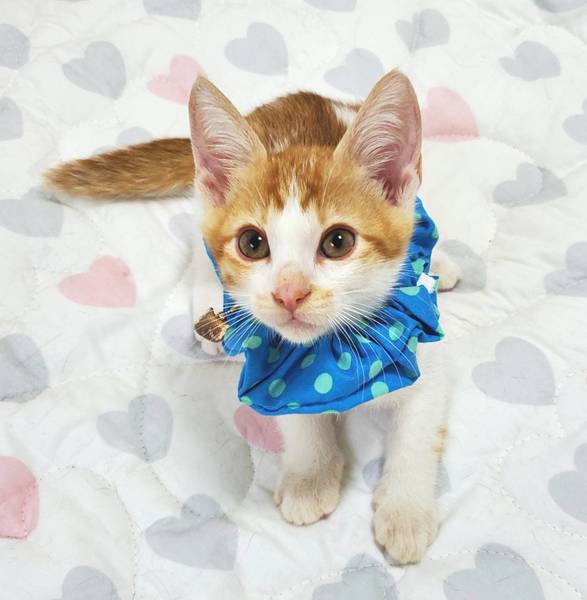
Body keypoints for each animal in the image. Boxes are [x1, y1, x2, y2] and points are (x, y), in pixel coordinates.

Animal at [45, 70, 461, 565]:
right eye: (252, 243)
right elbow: (295, 414)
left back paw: (443, 262)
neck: (334, 351)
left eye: (338, 241)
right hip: (205, 200)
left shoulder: (424, 346)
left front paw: (406, 512)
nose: (288, 294)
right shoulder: (272, 363)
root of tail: (274, 107)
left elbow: (418, 431)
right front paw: (309, 478)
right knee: (199, 244)